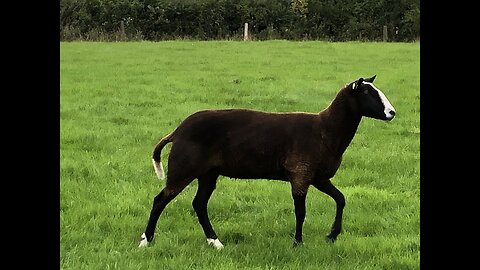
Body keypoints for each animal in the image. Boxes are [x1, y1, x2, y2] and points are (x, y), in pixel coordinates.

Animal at [138, 75, 394, 249]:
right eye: (367, 93)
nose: (392, 113)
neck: (326, 130)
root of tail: (178, 131)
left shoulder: (318, 177)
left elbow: (341, 199)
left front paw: (332, 235)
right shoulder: (300, 174)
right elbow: (301, 212)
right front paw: (297, 243)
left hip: (208, 173)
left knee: (199, 204)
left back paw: (215, 242)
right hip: (184, 168)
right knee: (160, 200)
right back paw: (146, 240)